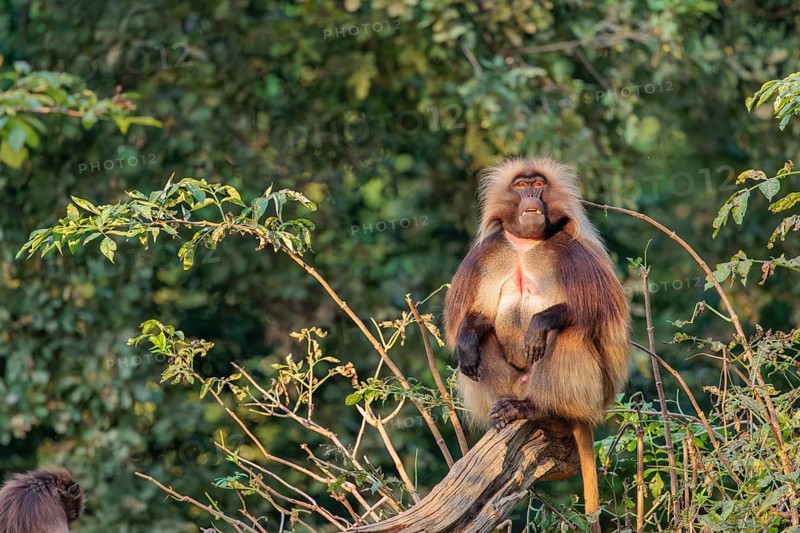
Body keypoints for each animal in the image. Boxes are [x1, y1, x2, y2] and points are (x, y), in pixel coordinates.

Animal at [444, 156, 629, 532]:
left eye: (538, 184)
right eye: (520, 185)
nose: (531, 194)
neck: (525, 244)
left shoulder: (574, 253)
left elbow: (593, 312)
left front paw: (538, 324)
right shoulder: (487, 256)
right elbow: (478, 321)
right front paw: (467, 340)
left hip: (587, 396)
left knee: (567, 333)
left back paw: (539, 408)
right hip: (514, 383)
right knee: (481, 347)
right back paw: (504, 410)